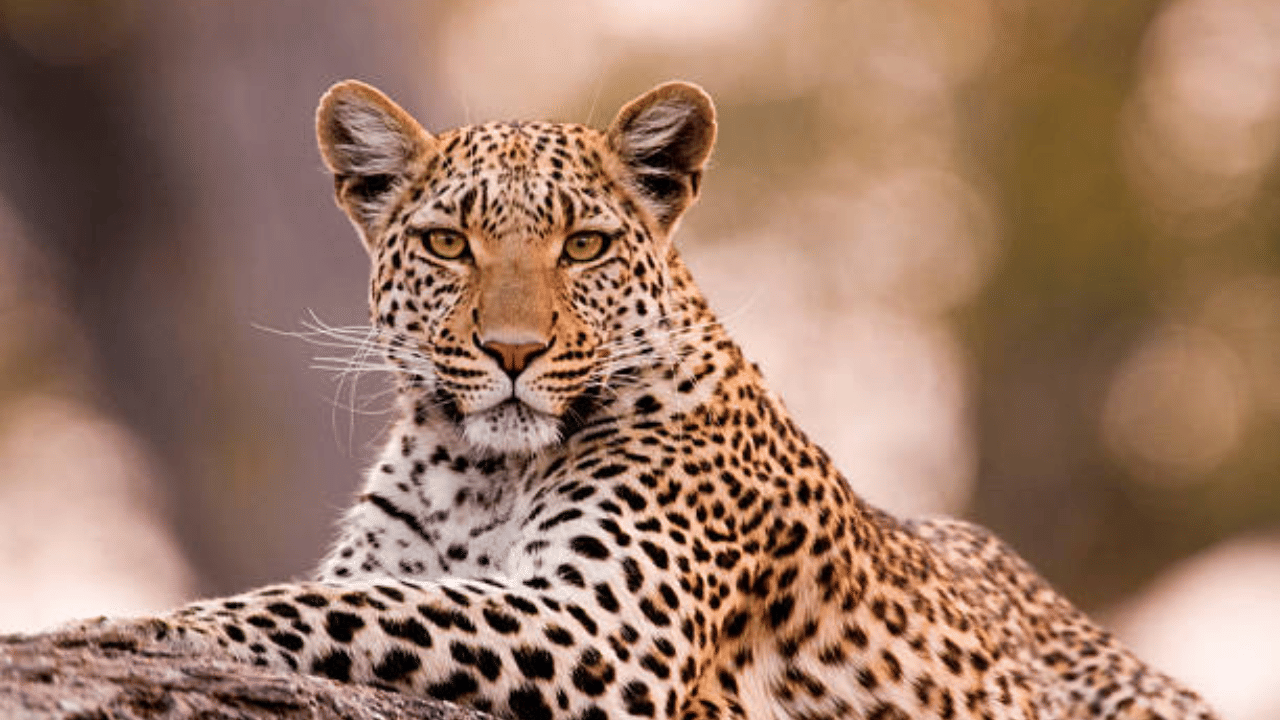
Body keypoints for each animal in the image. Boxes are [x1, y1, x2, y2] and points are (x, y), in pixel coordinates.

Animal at [46, 79, 1218, 720]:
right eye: (447, 243)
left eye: (584, 246)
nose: (511, 352)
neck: (478, 471)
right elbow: (355, 592)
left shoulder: (606, 629)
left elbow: (334, 608)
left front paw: (118, 626)